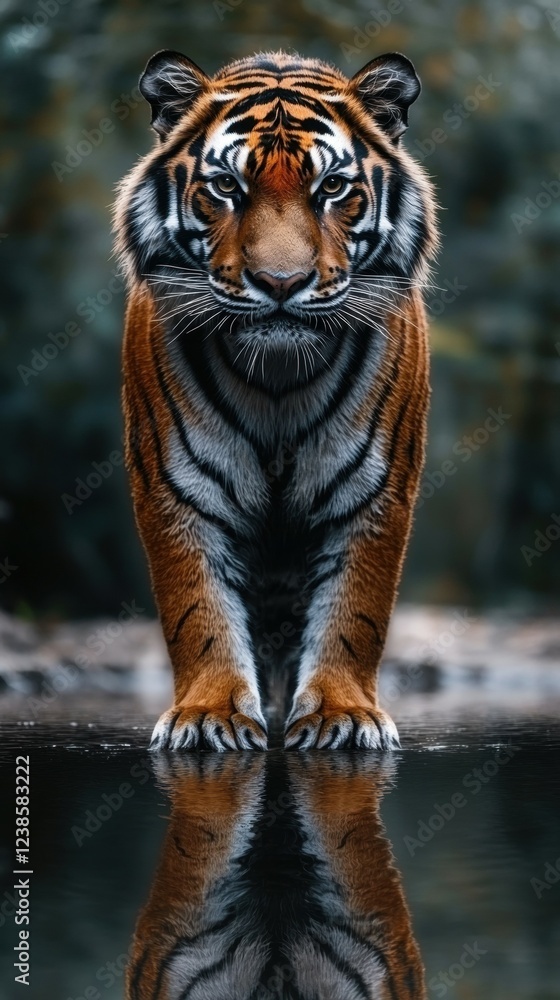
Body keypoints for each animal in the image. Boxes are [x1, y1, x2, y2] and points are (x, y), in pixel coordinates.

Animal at [114, 48, 438, 751]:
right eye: (227, 187)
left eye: (333, 188)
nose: (282, 283)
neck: (280, 376)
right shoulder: (176, 485)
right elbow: (196, 607)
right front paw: (208, 715)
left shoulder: (374, 489)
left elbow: (357, 609)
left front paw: (344, 714)